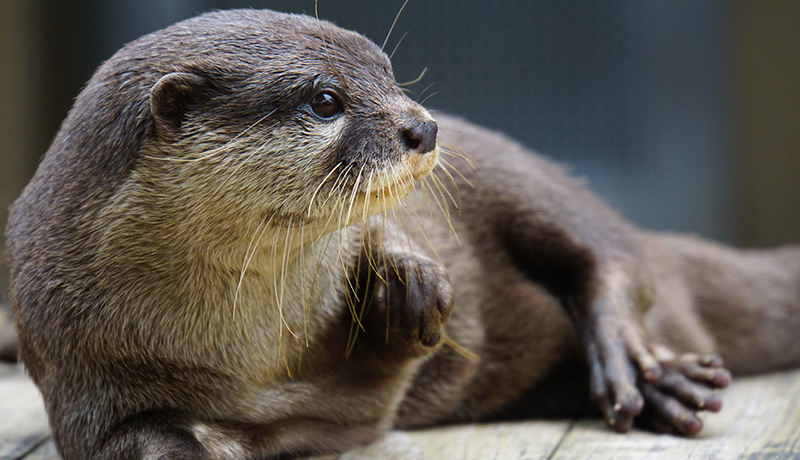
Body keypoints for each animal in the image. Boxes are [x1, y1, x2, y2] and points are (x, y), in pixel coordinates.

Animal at [6, 6, 800, 460]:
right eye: (326, 99)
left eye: (387, 71)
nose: (423, 125)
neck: (247, 351)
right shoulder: (77, 376)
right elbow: (148, 442)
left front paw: (407, 280)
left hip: (524, 176)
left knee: (609, 250)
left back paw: (646, 372)